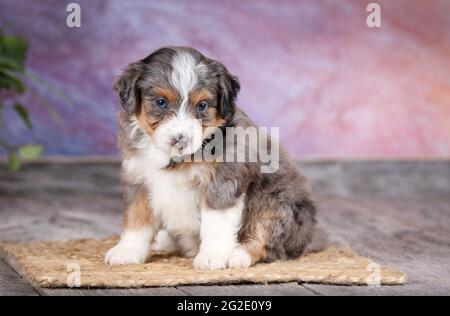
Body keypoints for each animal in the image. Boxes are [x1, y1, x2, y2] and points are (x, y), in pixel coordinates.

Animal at [105, 45, 316, 270]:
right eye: (161, 103)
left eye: (202, 106)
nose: (180, 139)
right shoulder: (139, 179)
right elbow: (136, 219)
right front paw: (127, 251)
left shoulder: (222, 182)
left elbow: (216, 223)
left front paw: (212, 257)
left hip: (276, 203)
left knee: (265, 240)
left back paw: (239, 255)